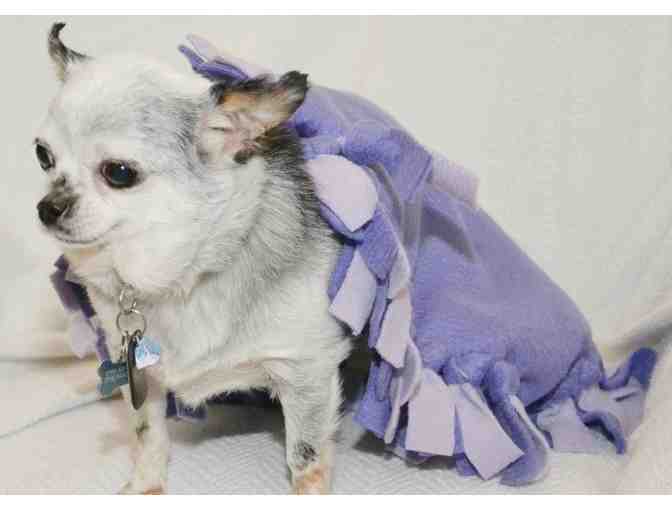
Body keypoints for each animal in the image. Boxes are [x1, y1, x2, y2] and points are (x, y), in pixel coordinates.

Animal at [36, 23, 351, 494]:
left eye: (119, 173)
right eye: (43, 156)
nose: (47, 208)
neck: (184, 277)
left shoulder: (306, 368)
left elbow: (305, 457)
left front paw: (308, 493)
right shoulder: (139, 371)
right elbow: (146, 432)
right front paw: (145, 485)